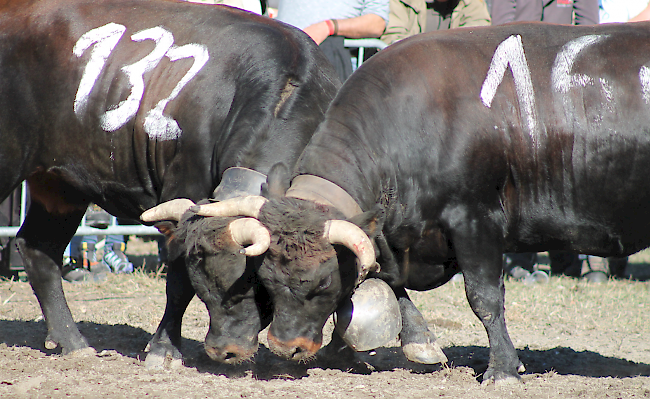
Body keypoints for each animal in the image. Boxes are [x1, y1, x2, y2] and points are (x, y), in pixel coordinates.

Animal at [1, 0, 340, 368]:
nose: (226, 349)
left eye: (258, 281)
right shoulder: (184, 197)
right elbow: (177, 285)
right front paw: (164, 349)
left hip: (60, 183)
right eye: (208, 285)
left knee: (38, 249)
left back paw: (71, 341)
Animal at [191, 21, 650, 382]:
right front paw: (419, 343)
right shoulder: (390, 236)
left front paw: (502, 369)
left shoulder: (475, 220)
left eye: (321, 282)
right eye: (265, 281)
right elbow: (391, 284)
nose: (287, 347)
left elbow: (484, 298)